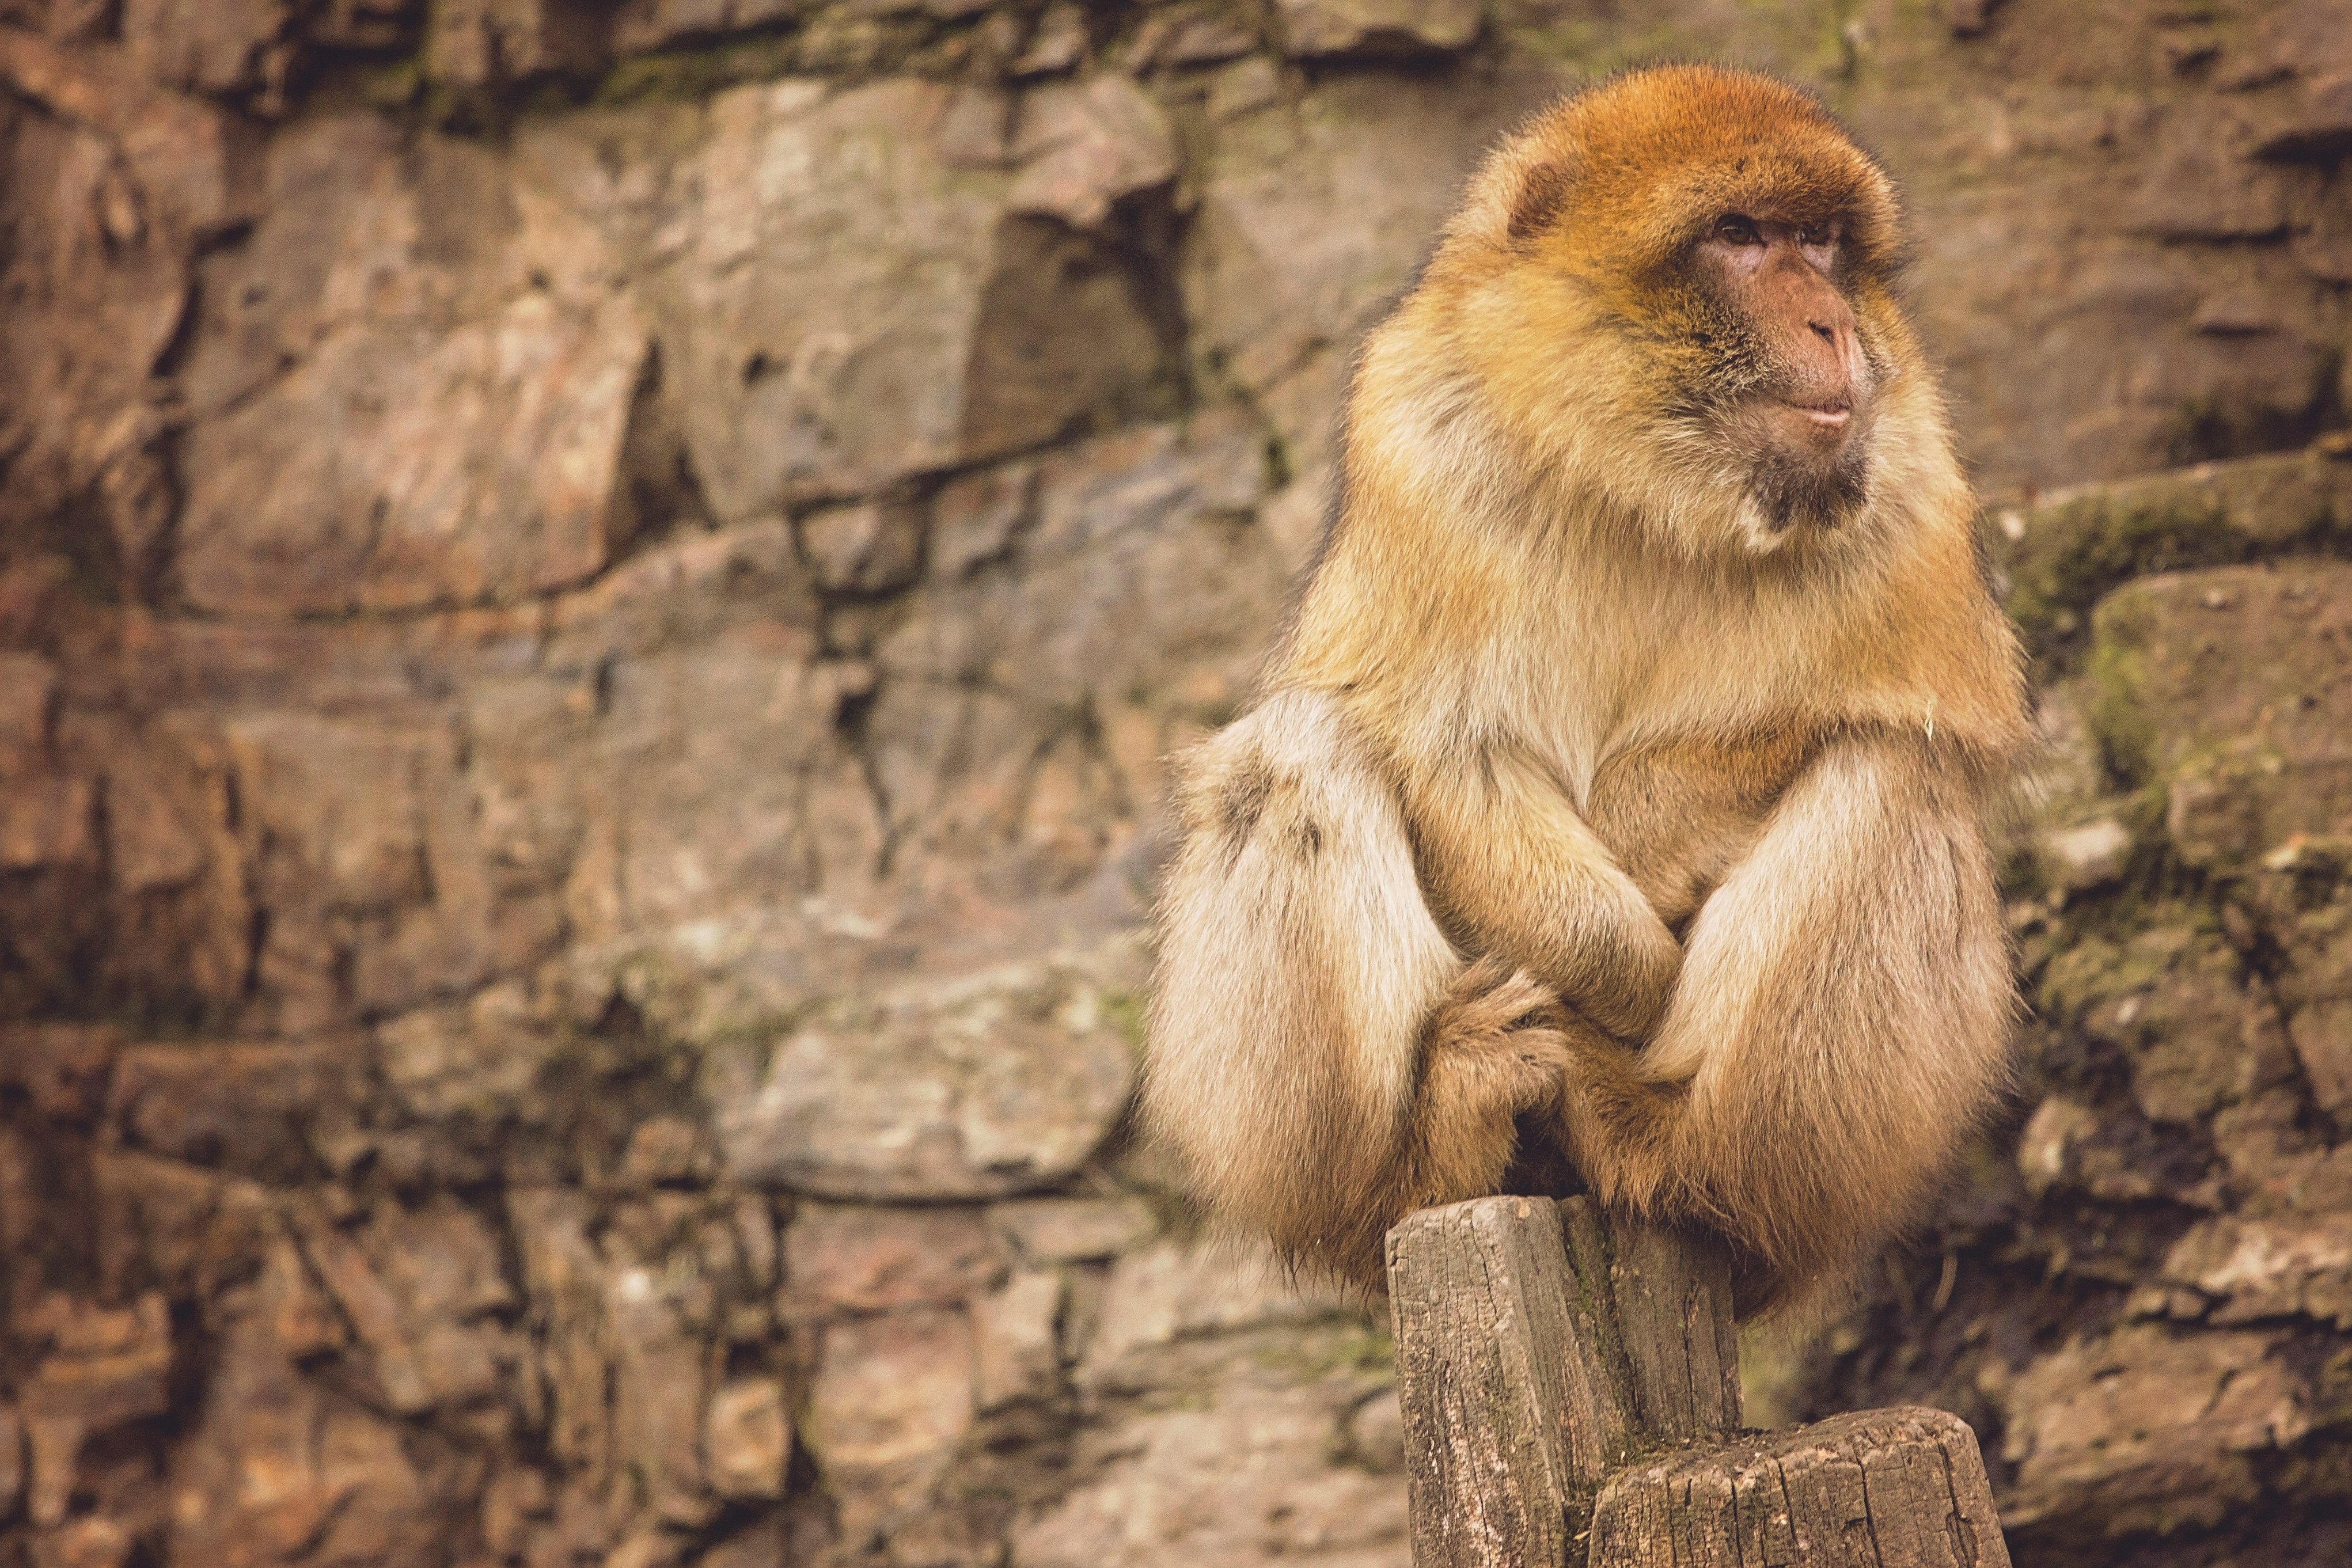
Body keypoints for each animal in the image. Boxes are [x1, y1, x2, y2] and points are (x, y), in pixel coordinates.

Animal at [1133, 64, 2023, 1316]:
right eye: (1739, 237)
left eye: (1820, 242)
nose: (1834, 325)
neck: (1644, 481)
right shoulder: (1414, 429)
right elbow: (1435, 740)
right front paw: (1620, 959)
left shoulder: (1906, 466)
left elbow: (1902, 718)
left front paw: (1647, 842)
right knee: (1297, 746)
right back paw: (1426, 1149)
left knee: (1892, 770)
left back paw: (1676, 1154)